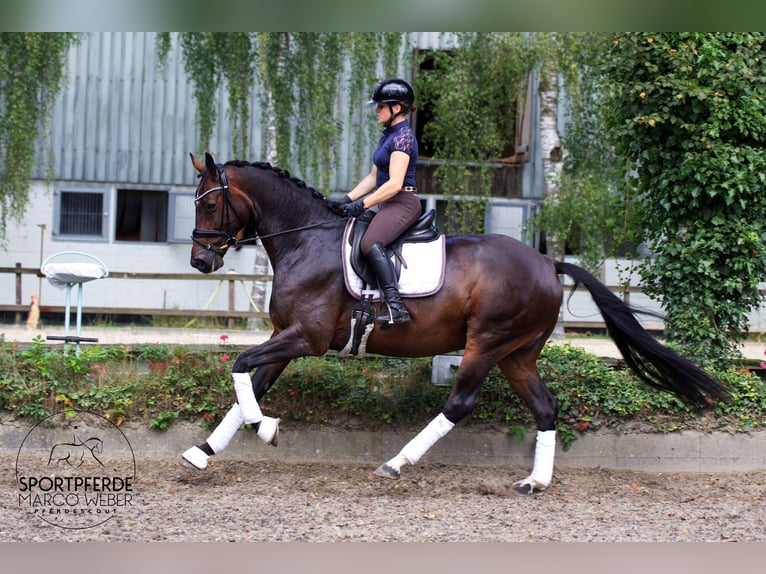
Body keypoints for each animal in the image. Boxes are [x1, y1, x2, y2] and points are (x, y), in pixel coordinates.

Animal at [182, 152, 732, 496]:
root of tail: (546, 262)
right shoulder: (287, 336)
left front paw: (267, 429)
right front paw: (201, 452)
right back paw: (534, 482)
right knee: (546, 407)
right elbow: (249, 385)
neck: (305, 240)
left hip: (486, 342)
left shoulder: (306, 339)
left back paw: (397, 463)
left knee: (460, 403)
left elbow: (241, 367)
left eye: (209, 202)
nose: (201, 263)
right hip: (517, 354)